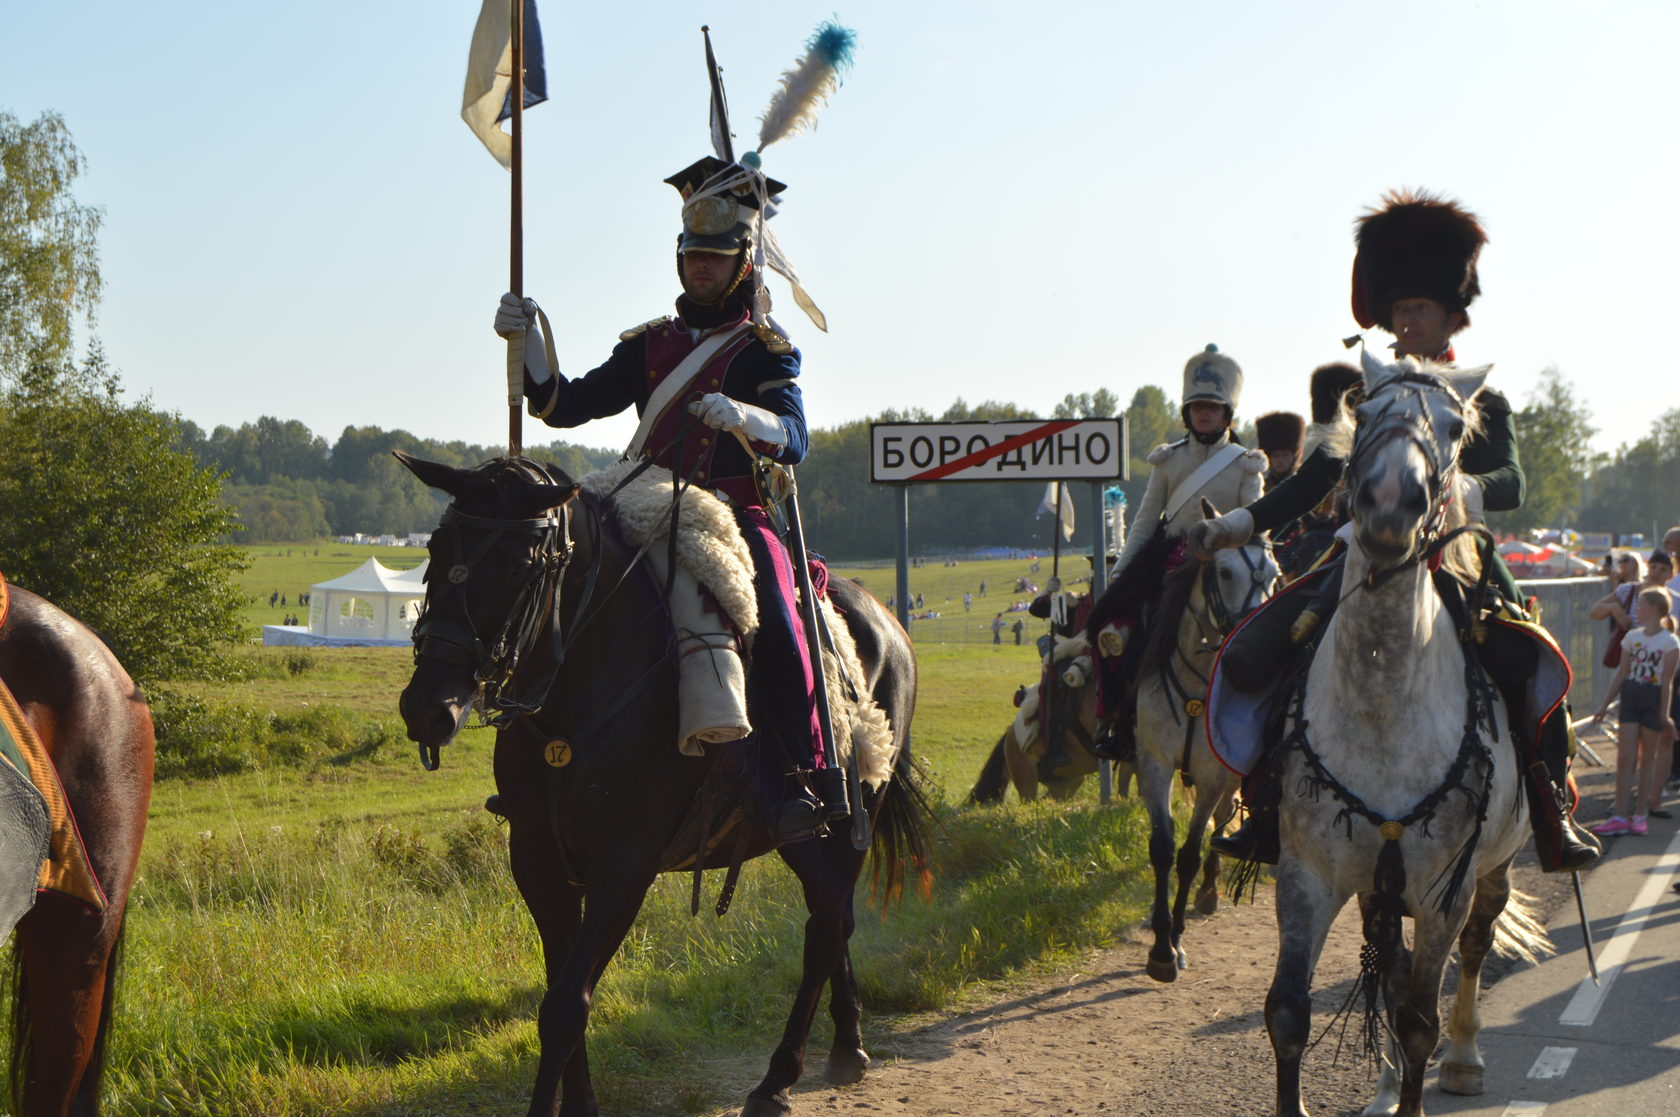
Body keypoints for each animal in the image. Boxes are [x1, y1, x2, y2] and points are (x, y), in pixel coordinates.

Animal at [394, 456, 934, 1115]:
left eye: (521, 566)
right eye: (436, 548)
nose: (429, 708)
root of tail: (885, 619)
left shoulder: (626, 864)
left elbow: (564, 1006)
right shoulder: (539, 860)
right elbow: (560, 989)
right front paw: (580, 1104)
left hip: (852, 815)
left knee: (827, 925)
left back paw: (776, 1081)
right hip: (806, 837)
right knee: (834, 919)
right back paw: (847, 1046)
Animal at [1128, 510, 1270, 980]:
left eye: (1274, 573)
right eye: (1224, 572)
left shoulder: (1213, 776)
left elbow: (1189, 852)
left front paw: (1174, 941)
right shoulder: (1153, 763)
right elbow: (1162, 848)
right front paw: (1159, 950)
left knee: (1224, 820)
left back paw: (1209, 888)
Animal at [1263, 351, 1538, 1115]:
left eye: (1455, 427)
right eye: (1364, 412)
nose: (1390, 501)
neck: (1383, 707)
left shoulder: (1447, 889)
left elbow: (1419, 1018)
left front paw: (1426, 1069)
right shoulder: (1309, 875)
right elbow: (1290, 1013)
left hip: (1494, 867)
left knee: (1473, 947)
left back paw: (1464, 1058)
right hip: (1377, 886)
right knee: (1388, 964)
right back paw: (1385, 1087)